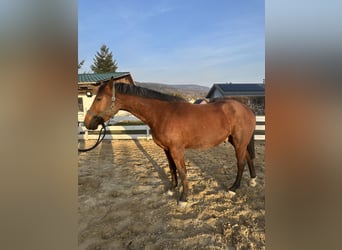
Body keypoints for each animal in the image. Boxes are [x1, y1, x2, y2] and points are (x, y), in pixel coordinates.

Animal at [85, 77, 256, 205]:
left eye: (99, 98)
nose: (88, 123)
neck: (163, 114)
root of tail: (247, 109)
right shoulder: (167, 149)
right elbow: (172, 168)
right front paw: (172, 188)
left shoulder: (176, 150)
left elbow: (182, 171)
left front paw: (183, 198)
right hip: (236, 141)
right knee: (248, 158)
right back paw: (253, 181)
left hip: (239, 142)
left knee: (241, 162)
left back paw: (233, 188)